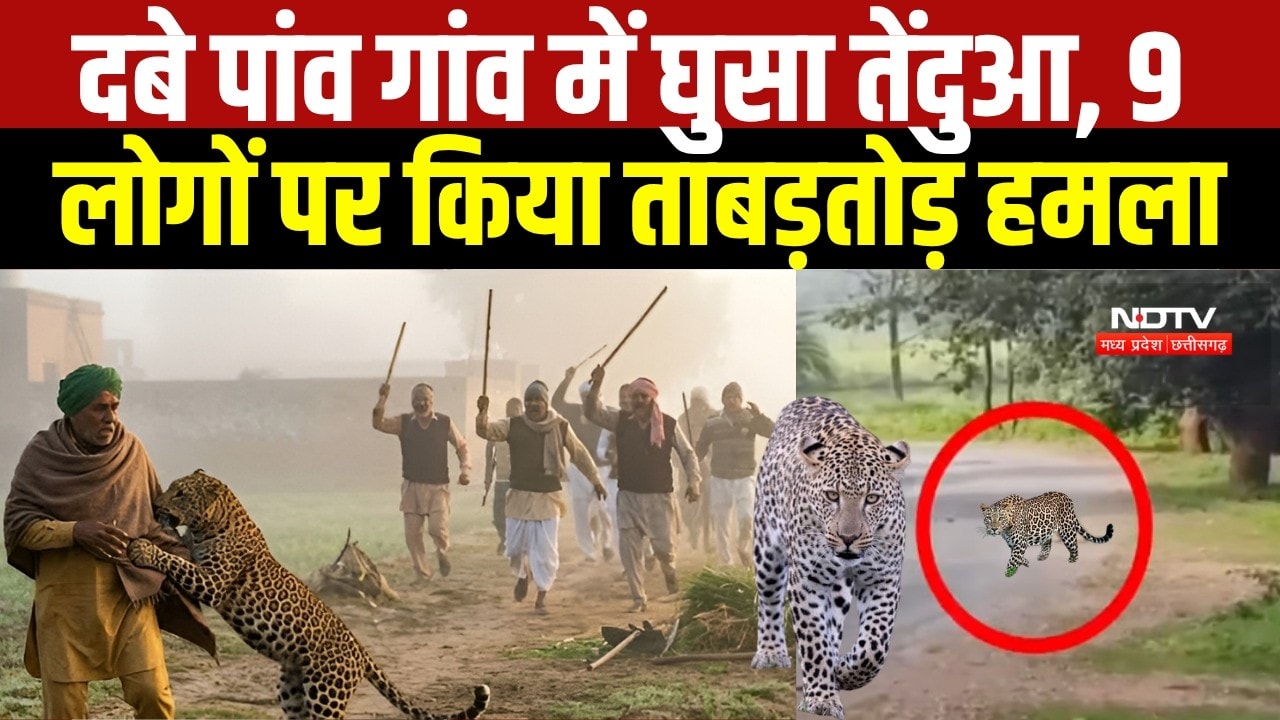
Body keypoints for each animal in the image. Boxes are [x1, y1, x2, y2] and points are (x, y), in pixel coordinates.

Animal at [126, 469, 491, 720]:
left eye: (181, 493)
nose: (156, 505)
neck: (214, 523)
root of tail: (359, 649)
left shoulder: (213, 581)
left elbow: (175, 561)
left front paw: (143, 549)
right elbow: (179, 552)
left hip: (326, 693)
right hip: (292, 691)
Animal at [749, 396, 912, 720]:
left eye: (872, 499)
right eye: (831, 496)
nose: (848, 537)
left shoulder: (883, 580)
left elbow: (875, 644)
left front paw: (844, 672)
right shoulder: (807, 583)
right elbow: (813, 641)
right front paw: (822, 698)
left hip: (838, 592)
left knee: (834, 627)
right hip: (767, 551)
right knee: (770, 600)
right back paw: (771, 653)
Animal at [980, 491, 1115, 578]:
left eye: (1000, 518)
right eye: (988, 518)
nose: (994, 529)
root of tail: (1067, 497)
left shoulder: (1020, 543)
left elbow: (1013, 559)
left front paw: (1008, 572)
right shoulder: (1012, 544)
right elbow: (1016, 556)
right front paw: (1025, 562)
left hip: (1067, 530)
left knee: (1074, 545)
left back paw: (1072, 560)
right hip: (1047, 528)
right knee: (1047, 540)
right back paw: (1043, 556)